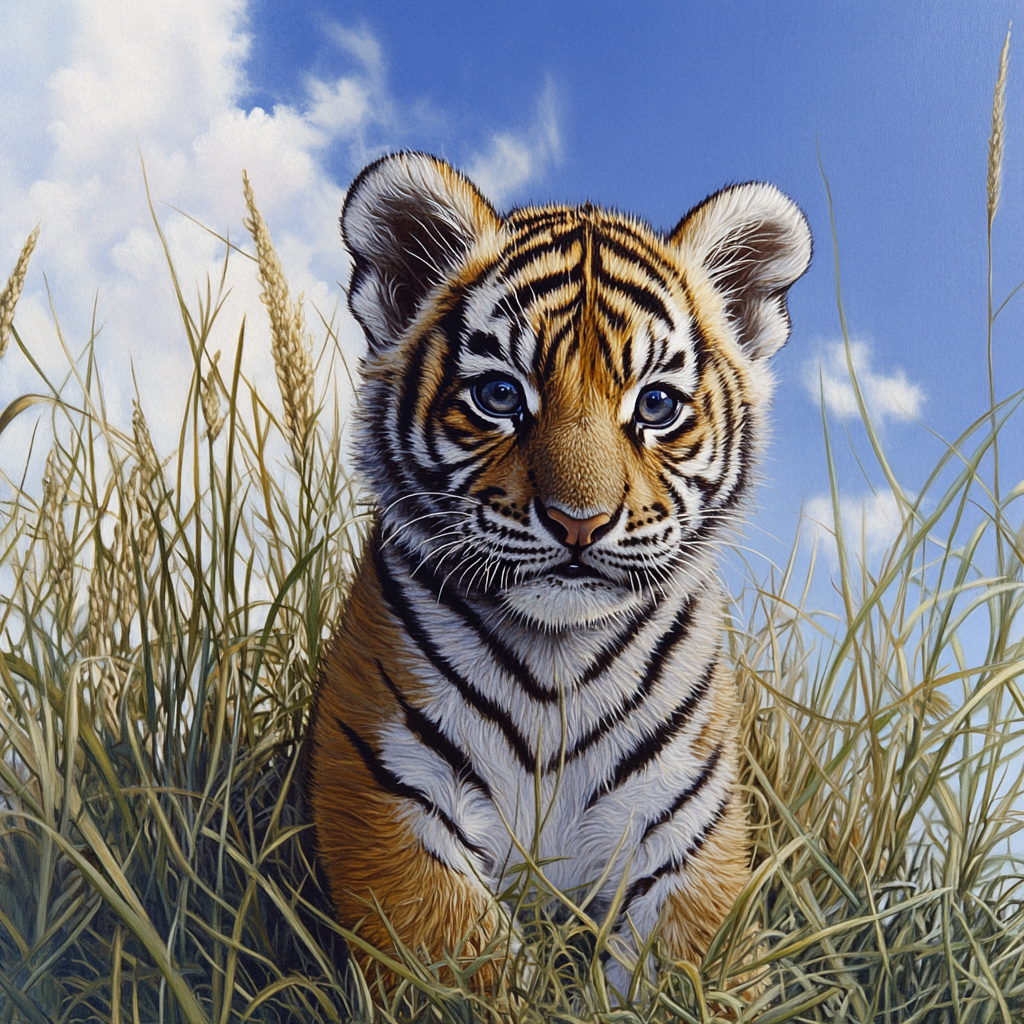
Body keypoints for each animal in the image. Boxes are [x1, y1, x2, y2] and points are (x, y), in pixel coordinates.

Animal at [308, 151, 811, 991]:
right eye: (499, 394)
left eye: (658, 406)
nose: (580, 521)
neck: (558, 667)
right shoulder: (390, 793)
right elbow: (465, 968)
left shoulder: (691, 837)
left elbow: (687, 975)